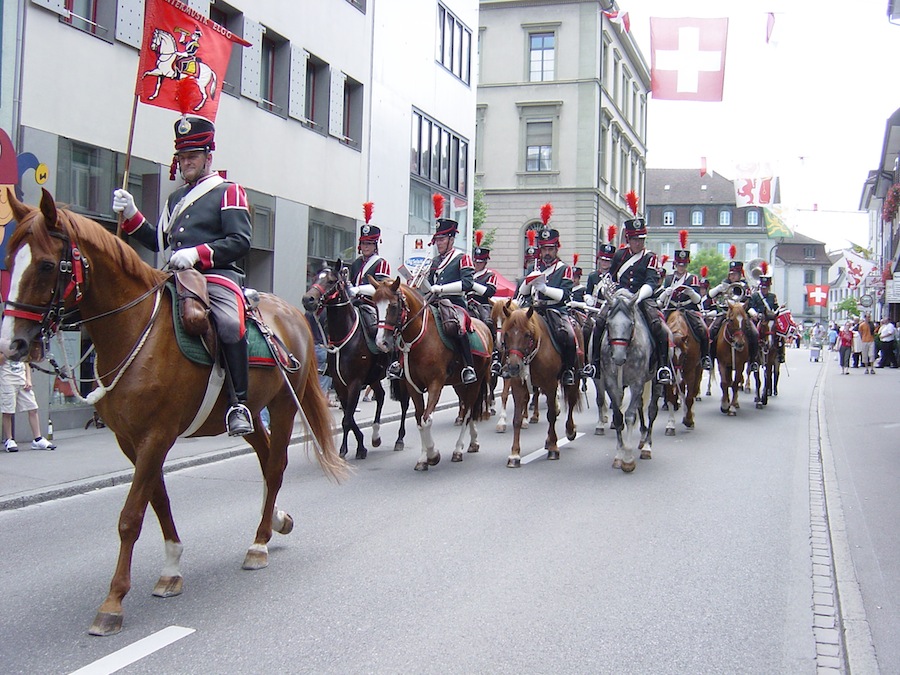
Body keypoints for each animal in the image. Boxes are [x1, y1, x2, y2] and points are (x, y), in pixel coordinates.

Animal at [0, 191, 346, 640]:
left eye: (44, 264)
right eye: (10, 259)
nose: (12, 345)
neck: (135, 330)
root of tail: (292, 314)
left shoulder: (156, 434)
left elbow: (131, 516)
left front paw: (112, 602)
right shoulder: (132, 441)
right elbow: (158, 499)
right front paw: (171, 568)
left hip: (284, 405)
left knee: (275, 466)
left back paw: (258, 544)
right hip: (250, 410)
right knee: (265, 454)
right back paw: (275, 522)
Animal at [304, 262, 414, 456]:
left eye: (331, 281)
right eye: (316, 277)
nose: (308, 299)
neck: (344, 337)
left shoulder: (355, 382)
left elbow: (347, 419)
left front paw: (345, 449)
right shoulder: (340, 384)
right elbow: (348, 415)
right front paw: (361, 444)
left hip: (400, 377)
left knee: (404, 404)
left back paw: (399, 439)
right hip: (375, 376)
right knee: (381, 396)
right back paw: (376, 436)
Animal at [370, 278, 492, 472]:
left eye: (394, 306)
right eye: (375, 304)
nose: (381, 343)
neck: (419, 339)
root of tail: (483, 327)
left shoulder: (436, 384)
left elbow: (427, 419)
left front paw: (433, 454)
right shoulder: (413, 386)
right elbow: (419, 419)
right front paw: (423, 459)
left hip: (476, 381)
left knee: (467, 412)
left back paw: (458, 449)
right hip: (458, 384)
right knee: (468, 408)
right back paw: (473, 442)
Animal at [496, 308, 580, 470]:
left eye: (527, 334)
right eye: (507, 334)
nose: (513, 367)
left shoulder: (551, 385)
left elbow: (551, 415)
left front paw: (554, 448)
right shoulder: (518, 386)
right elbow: (517, 419)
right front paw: (514, 455)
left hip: (575, 378)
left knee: (571, 402)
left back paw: (570, 430)